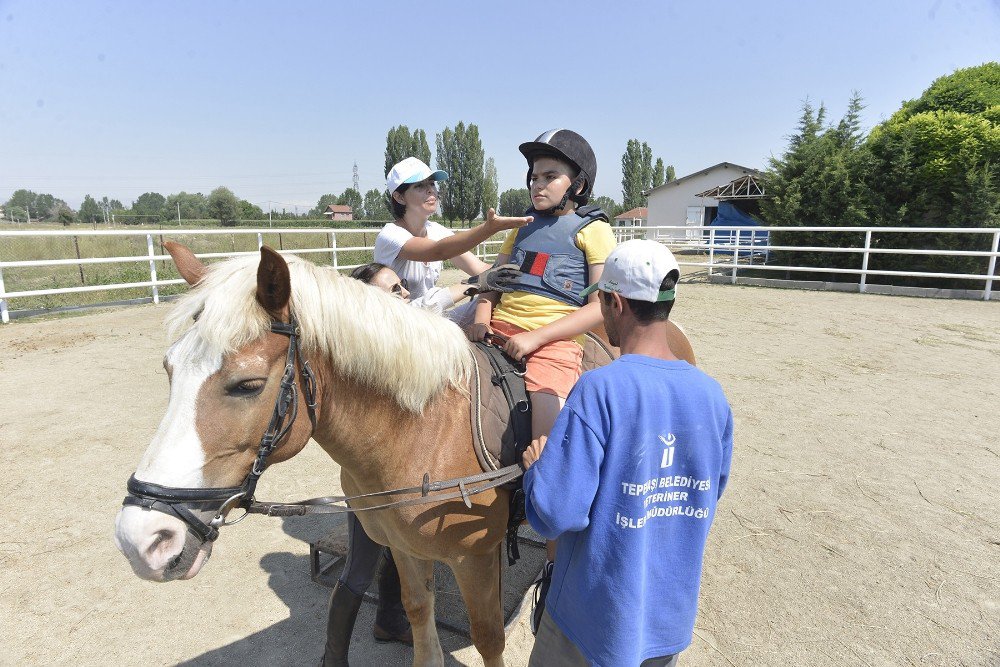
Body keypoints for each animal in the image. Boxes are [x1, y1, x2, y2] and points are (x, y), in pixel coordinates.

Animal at [115, 245, 696, 667]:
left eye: (248, 385)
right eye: (169, 369)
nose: (142, 540)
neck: (423, 431)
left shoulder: (476, 559)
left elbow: (488, 637)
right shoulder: (402, 546)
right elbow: (418, 612)